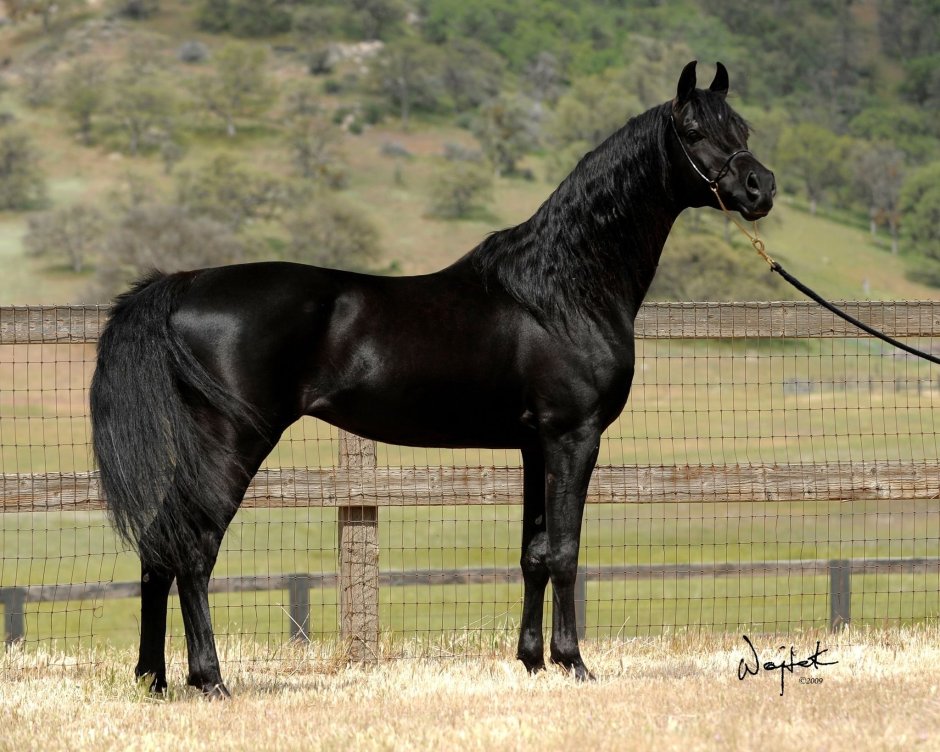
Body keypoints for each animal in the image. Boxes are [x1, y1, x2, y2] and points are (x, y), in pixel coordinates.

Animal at [90, 61, 775, 698]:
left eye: (742, 127)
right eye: (694, 130)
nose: (759, 187)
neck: (561, 291)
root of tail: (183, 284)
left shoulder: (534, 445)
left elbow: (533, 553)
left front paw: (531, 662)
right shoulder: (573, 437)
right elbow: (565, 551)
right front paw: (574, 663)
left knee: (158, 544)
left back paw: (153, 678)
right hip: (233, 443)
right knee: (194, 549)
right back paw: (210, 679)